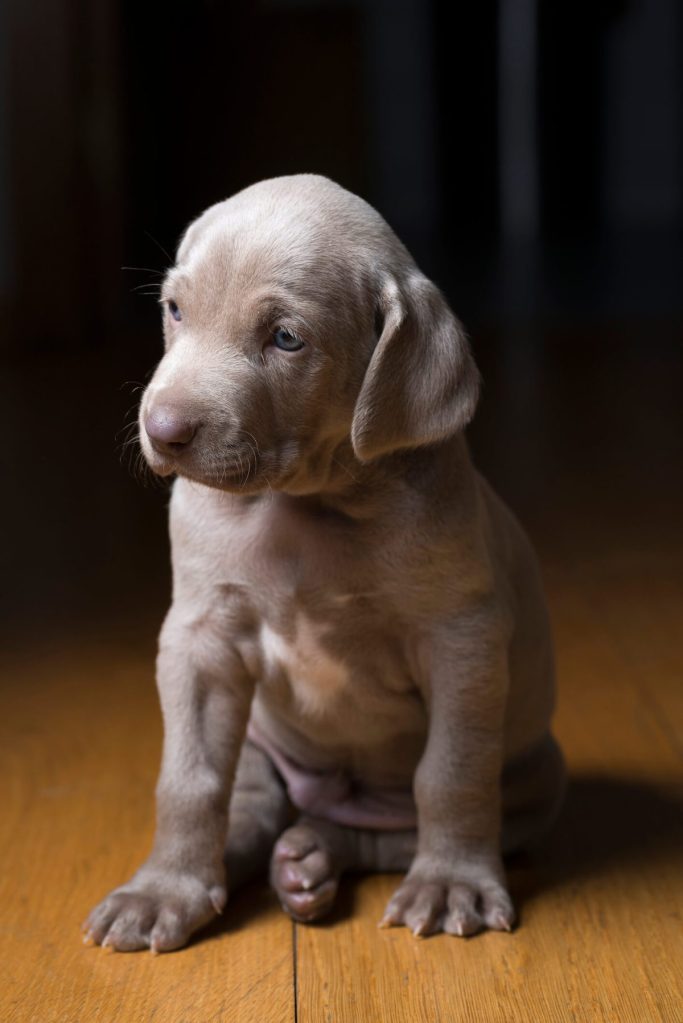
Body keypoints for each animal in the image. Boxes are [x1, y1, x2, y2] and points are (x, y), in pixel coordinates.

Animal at [82, 173, 564, 949]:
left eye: (286, 338)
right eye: (175, 310)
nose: (162, 428)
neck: (304, 504)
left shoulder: (461, 641)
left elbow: (451, 773)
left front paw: (452, 881)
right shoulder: (199, 641)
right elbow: (190, 779)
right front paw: (163, 891)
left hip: (536, 778)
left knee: (383, 832)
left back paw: (311, 861)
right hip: (258, 738)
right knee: (251, 803)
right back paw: (260, 865)